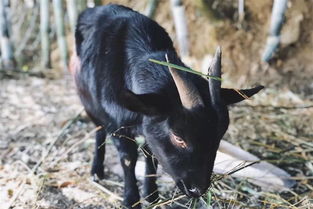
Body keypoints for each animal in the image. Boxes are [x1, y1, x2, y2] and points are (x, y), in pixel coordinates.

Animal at [71, 4, 264, 208]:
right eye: (178, 138)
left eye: (218, 137)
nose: (197, 189)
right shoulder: (117, 126)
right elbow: (128, 159)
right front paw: (131, 200)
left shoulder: (150, 127)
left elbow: (151, 155)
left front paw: (152, 195)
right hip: (89, 104)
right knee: (99, 130)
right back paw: (96, 170)